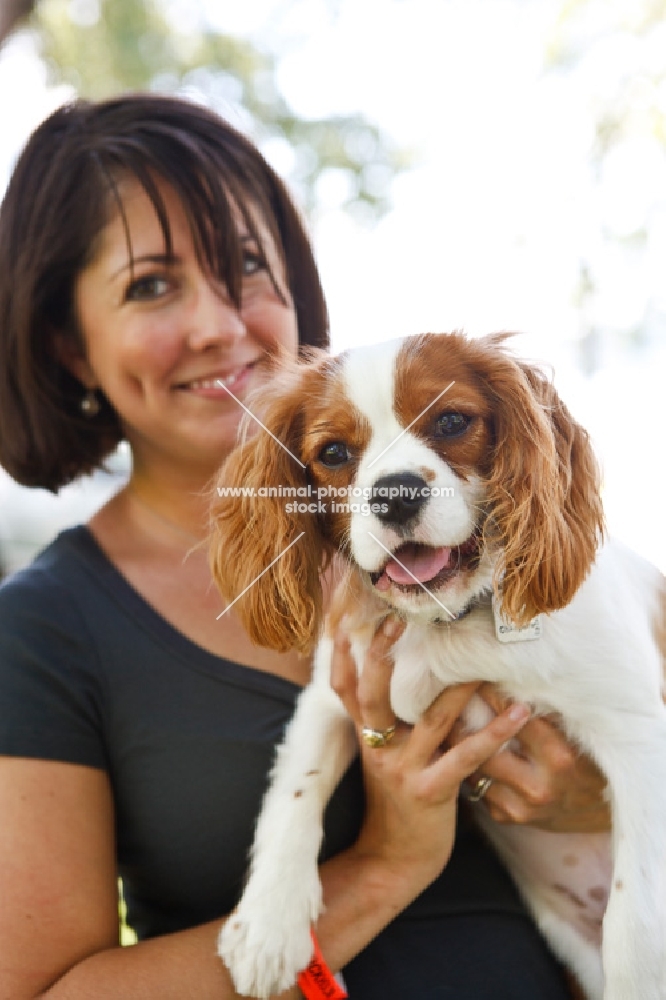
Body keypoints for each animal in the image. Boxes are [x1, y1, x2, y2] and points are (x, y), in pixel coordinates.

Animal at [209, 334, 664, 1000]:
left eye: (451, 421)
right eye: (333, 453)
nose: (395, 494)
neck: (451, 621)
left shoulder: (638, 734)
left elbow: (637, 916)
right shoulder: (333, 692)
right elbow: (295, 790)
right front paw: (268, 926)